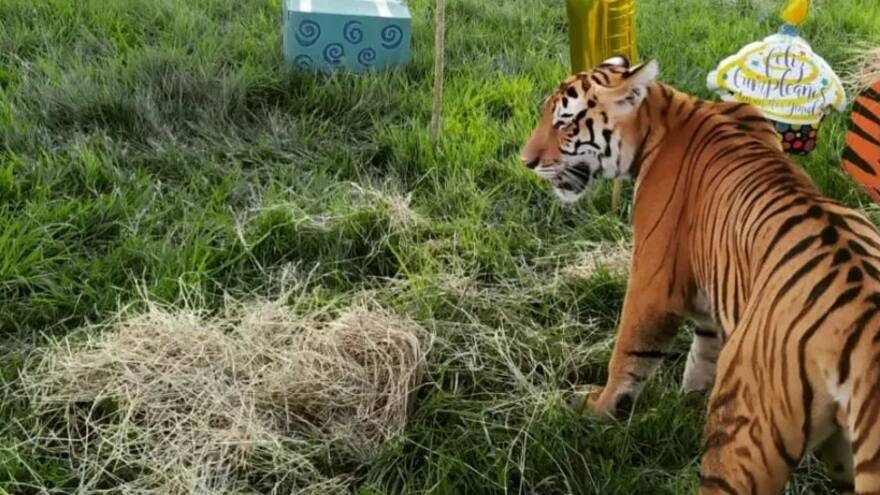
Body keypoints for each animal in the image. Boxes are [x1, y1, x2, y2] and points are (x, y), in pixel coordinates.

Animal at [520, 56, 880, 494]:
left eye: (565, 123)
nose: (525, 161)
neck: (663, 113)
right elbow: (702, 353)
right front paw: (686, 404)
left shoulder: (652, 281)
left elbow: (628, 353)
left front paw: (598, 408)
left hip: (745, 432)